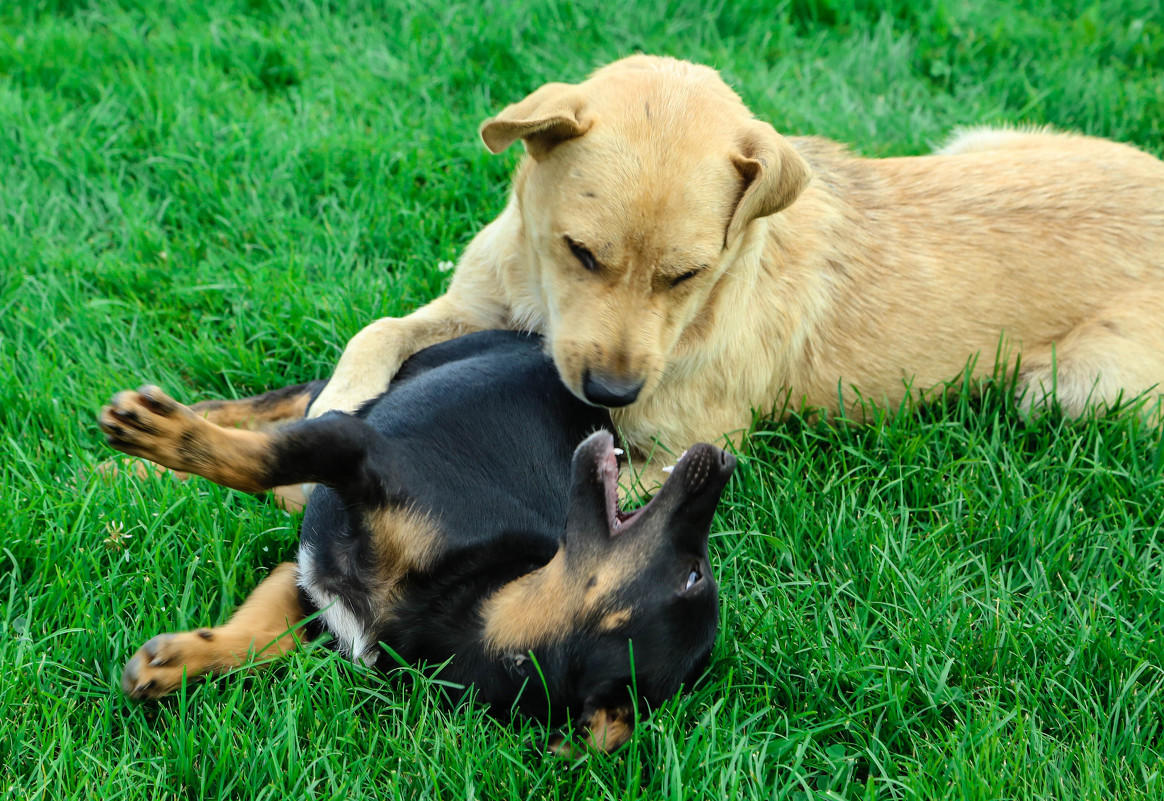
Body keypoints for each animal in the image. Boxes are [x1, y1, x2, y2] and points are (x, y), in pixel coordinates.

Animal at [102, 330, 735, 749]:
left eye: (694, 574)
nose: (724, 459)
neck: (471, 608)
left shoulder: (316, 578)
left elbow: (259, 637)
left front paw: (177, 661)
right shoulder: (357, 451)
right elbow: (262, 459)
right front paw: (163, 437)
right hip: (384, 381)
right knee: (284, 402)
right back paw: (130, 462)